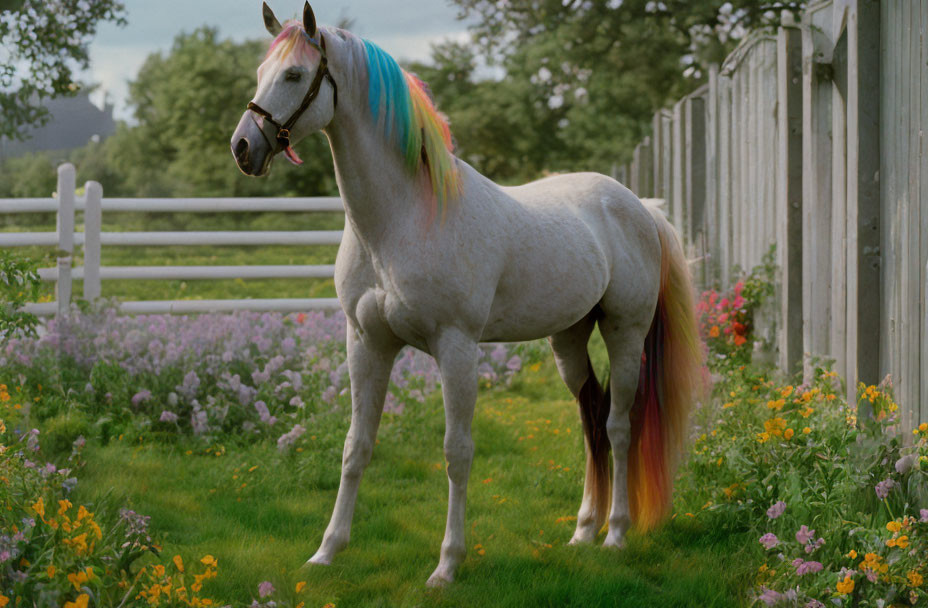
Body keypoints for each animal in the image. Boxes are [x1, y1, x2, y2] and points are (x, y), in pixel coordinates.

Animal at [232, 2, 704, 588]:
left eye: (295, 75)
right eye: (260, 73)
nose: (243, 147)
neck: (402, 218)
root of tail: (640, 207)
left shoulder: (455, 348)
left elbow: (457, 452)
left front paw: (447, 564)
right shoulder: (366, 344)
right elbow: (356, 446)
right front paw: (327, 551)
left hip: (624, 331)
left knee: (618, 424)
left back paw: (615, 534)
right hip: (569, 339)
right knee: (591, 416)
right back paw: (583, 532)